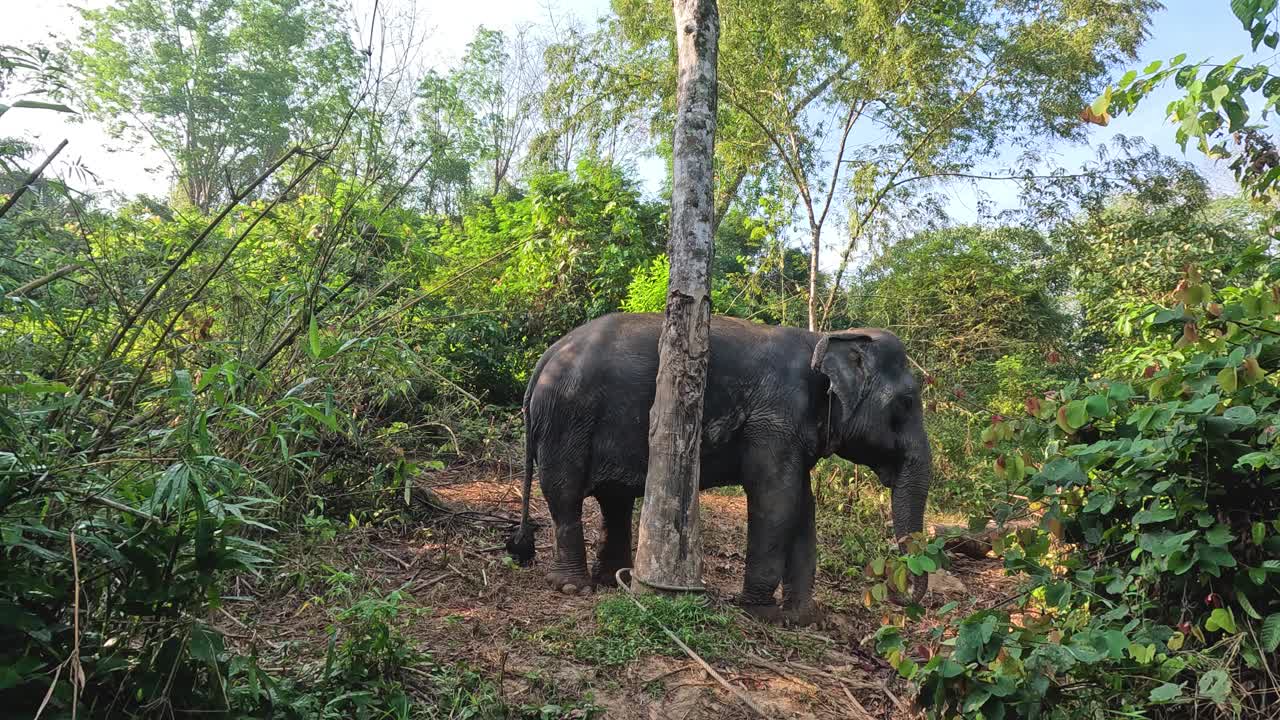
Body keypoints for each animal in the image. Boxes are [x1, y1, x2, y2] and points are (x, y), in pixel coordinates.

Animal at [501, 311, 931, 620]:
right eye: (907, 402)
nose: (899, 595)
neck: (824, 339)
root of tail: (547, 355)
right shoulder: (773, 420)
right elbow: (776, 500)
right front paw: (762, 613)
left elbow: (803, 507)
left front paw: (804, 618)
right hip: (566, 419)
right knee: (565, 495)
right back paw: (574, 588)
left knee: (614, 501)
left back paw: (611, 581)